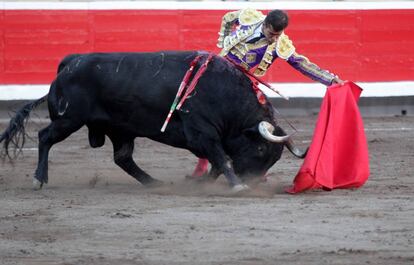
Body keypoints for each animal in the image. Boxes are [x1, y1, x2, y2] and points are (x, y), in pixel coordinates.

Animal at [0, 50, 304, 190]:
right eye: (261, 148)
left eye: (274, 158)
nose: (255, 182)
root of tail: (70, 62)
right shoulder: (202, 132)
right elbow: (222, 159)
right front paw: (237, 185)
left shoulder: (206, 139)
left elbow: (218, 163)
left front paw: (202, 183)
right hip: (69, 119)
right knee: (45, 137)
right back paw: (39, 179)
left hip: (120, 129)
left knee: (123, 157)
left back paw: (152, 182)